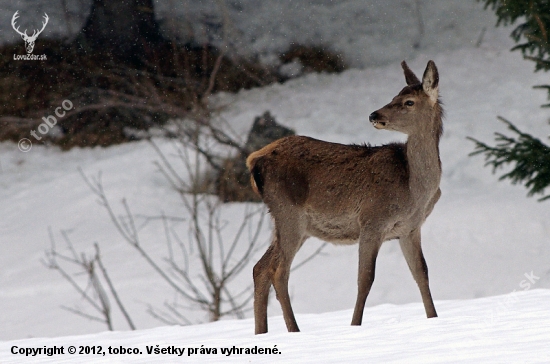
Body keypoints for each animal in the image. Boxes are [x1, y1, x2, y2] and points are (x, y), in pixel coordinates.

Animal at [248, 60, 446, 336]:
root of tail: (254, 161)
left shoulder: (409, 229)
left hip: (294, 223)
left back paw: (262, 332)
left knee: (260, 267)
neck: (414, 189)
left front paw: (433, 318)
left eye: (408, 102)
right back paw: (294, 331)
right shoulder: (372, 220)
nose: (374, 115)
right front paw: (354, 326)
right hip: (289, 212)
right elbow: (365, 279)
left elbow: (421, 273)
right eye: (394, 96)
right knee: (278, 271)